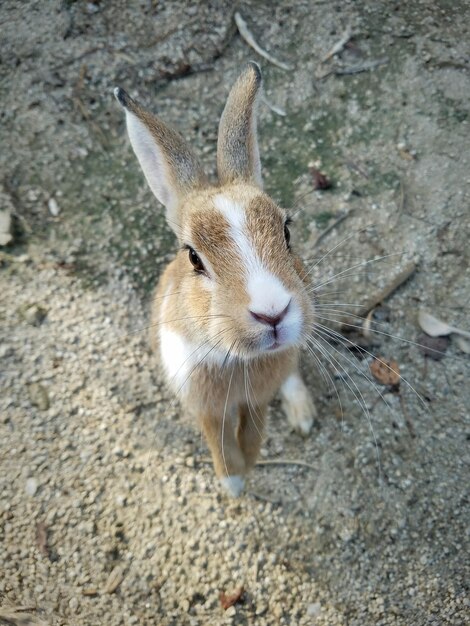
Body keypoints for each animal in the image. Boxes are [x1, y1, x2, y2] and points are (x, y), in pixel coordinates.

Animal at [114, 61, 316, 494]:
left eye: (286, 231)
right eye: (194, 257)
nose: (273, 314)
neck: (235, 356)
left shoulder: (256, 398)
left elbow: (253, 431)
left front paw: (246, 471)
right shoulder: (202, 402)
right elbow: (219, 440)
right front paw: (235, 484)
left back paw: (303, 415)